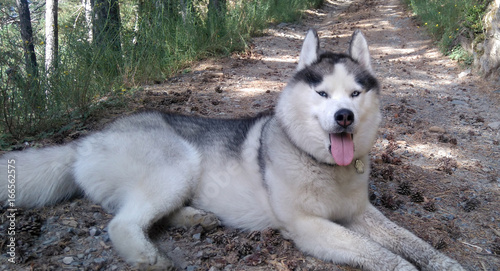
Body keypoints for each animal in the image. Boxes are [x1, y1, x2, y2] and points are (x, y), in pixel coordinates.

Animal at [0, 29, 462, 271]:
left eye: (354, 93)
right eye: (322, 93)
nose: (344, 116)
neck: (320, 163)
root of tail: (86, 139)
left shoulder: (362, 214)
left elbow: (412, 242)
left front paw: (447, 263)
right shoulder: (309, 226)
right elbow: (385, 255)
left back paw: (194, 217)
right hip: (178, 165)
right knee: (121, 223)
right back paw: (149, 257)